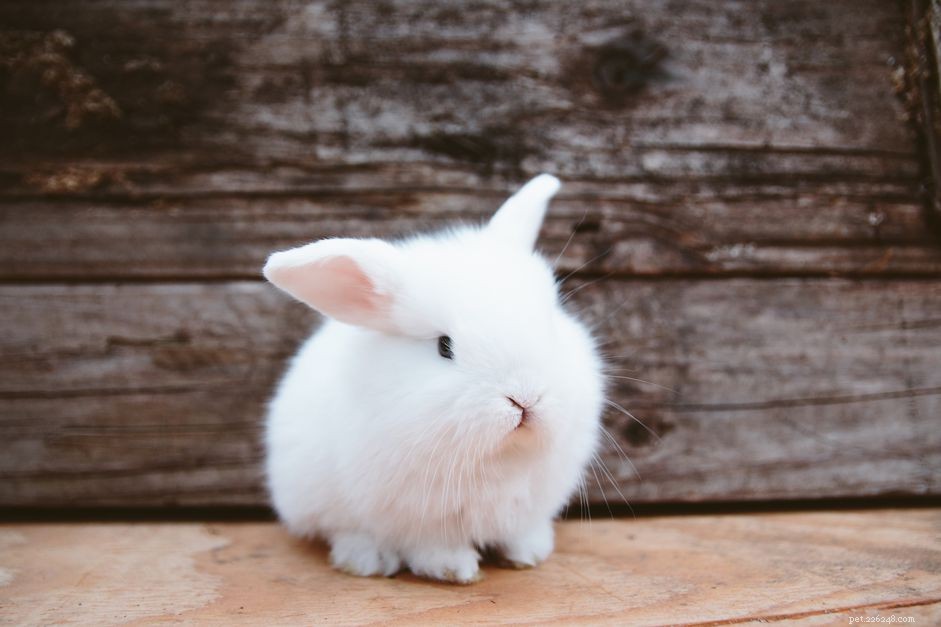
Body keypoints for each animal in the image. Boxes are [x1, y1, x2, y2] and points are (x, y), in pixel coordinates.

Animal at [262, 174, 604, 584]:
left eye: (549, 323)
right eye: (445, 346)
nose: (524, 398)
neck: (500, 456)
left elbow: (520, 533)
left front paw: (529, 554)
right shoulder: (418, 516)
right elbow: (432, 547)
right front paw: (454, 569)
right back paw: (368, 559)